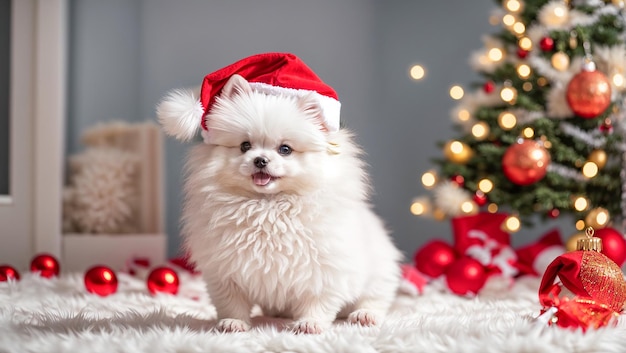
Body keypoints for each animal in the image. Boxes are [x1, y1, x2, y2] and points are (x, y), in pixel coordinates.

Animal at [156, 53, 400, 334]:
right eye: (245, 146)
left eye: (285, 149)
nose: (260, 160)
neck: (268, 206)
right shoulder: (225, 271)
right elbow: (231, 303)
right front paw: (233, 323)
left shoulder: (325, 270)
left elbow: (318, 301)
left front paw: (309, 323)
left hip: (379, 272)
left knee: (375, 299)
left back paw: (364, 315)